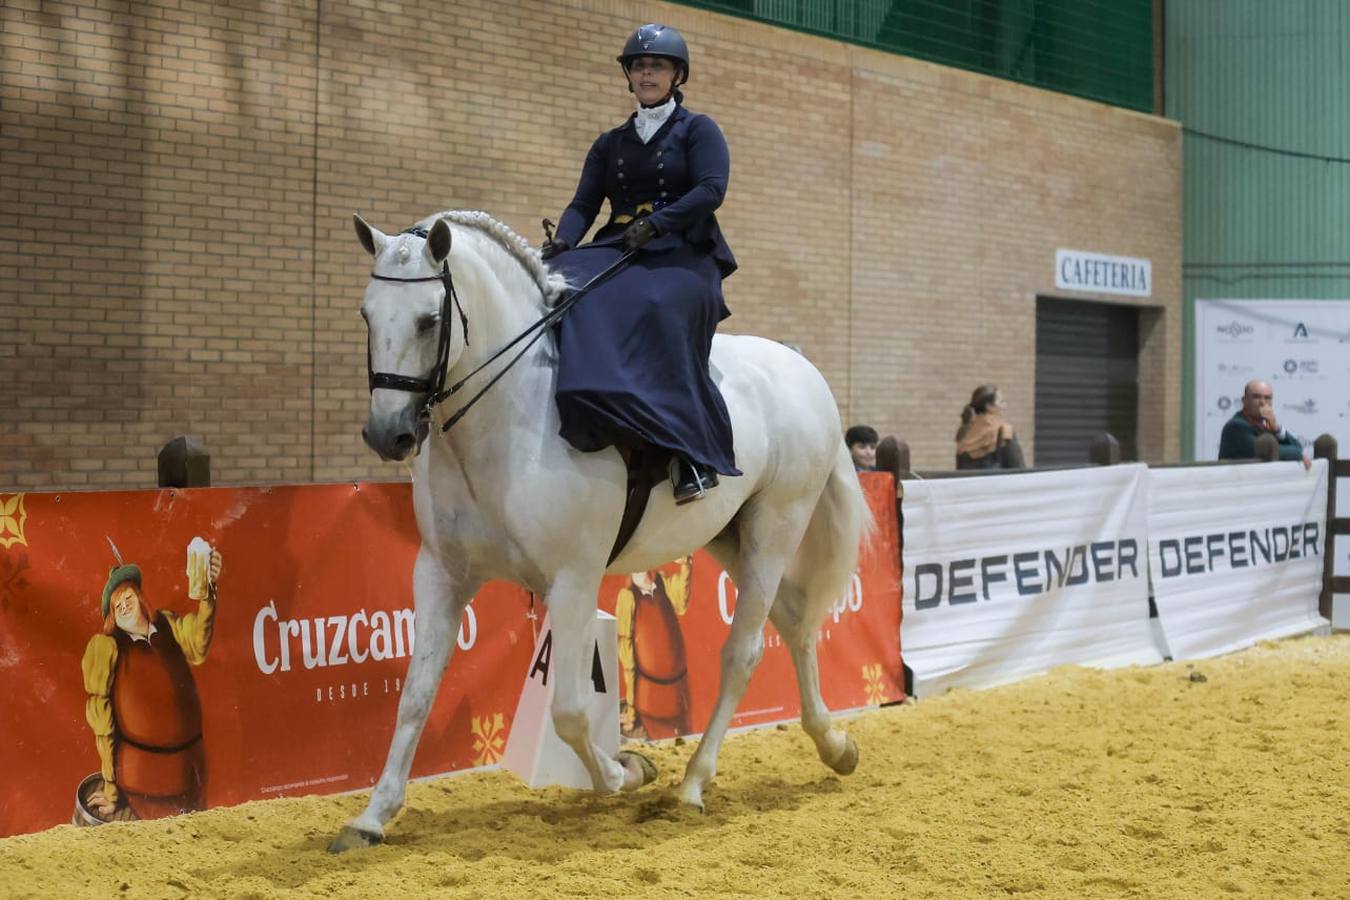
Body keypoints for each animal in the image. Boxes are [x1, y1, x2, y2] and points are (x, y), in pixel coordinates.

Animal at [330, 210, 871, 852]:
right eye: (366, 314)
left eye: (428, 320)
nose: (387, 435)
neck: (513, 419)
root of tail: (803, 370)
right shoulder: (441, 573)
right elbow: (414, 695)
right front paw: (371, 817)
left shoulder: (573, 580)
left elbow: (568, 710)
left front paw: (626, 771)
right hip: (730, 535)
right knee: (793, 621)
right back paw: (834, 746)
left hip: (776, 526)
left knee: (744, 651)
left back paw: (694, 783)